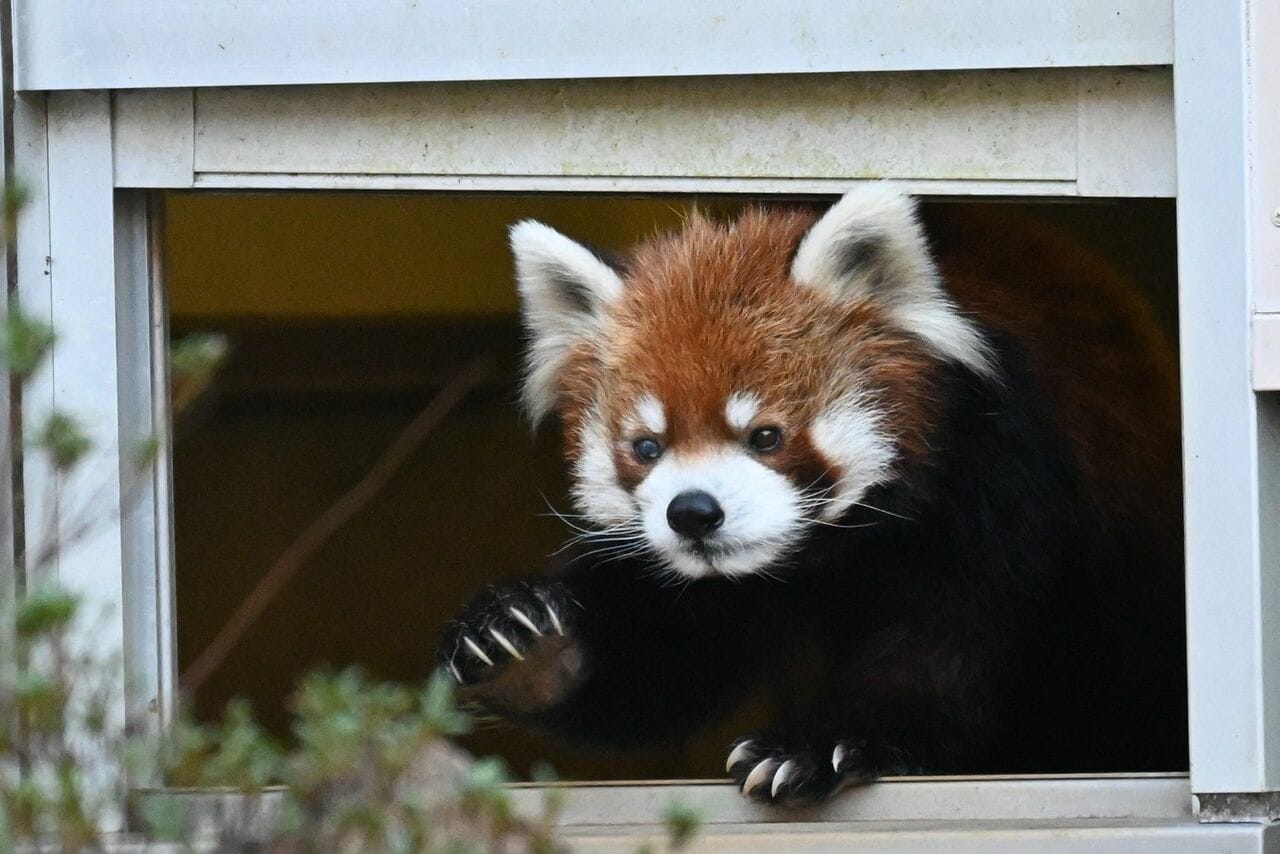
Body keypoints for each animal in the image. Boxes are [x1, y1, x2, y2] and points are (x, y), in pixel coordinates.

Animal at [437, 184, 1177, 804]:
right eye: (647, 447)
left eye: (766, 436)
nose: (693, 512)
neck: (819, 558)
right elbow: (666, 666)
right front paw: (528, 650)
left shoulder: (998, 481)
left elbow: (942, 648)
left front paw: (815, 746)